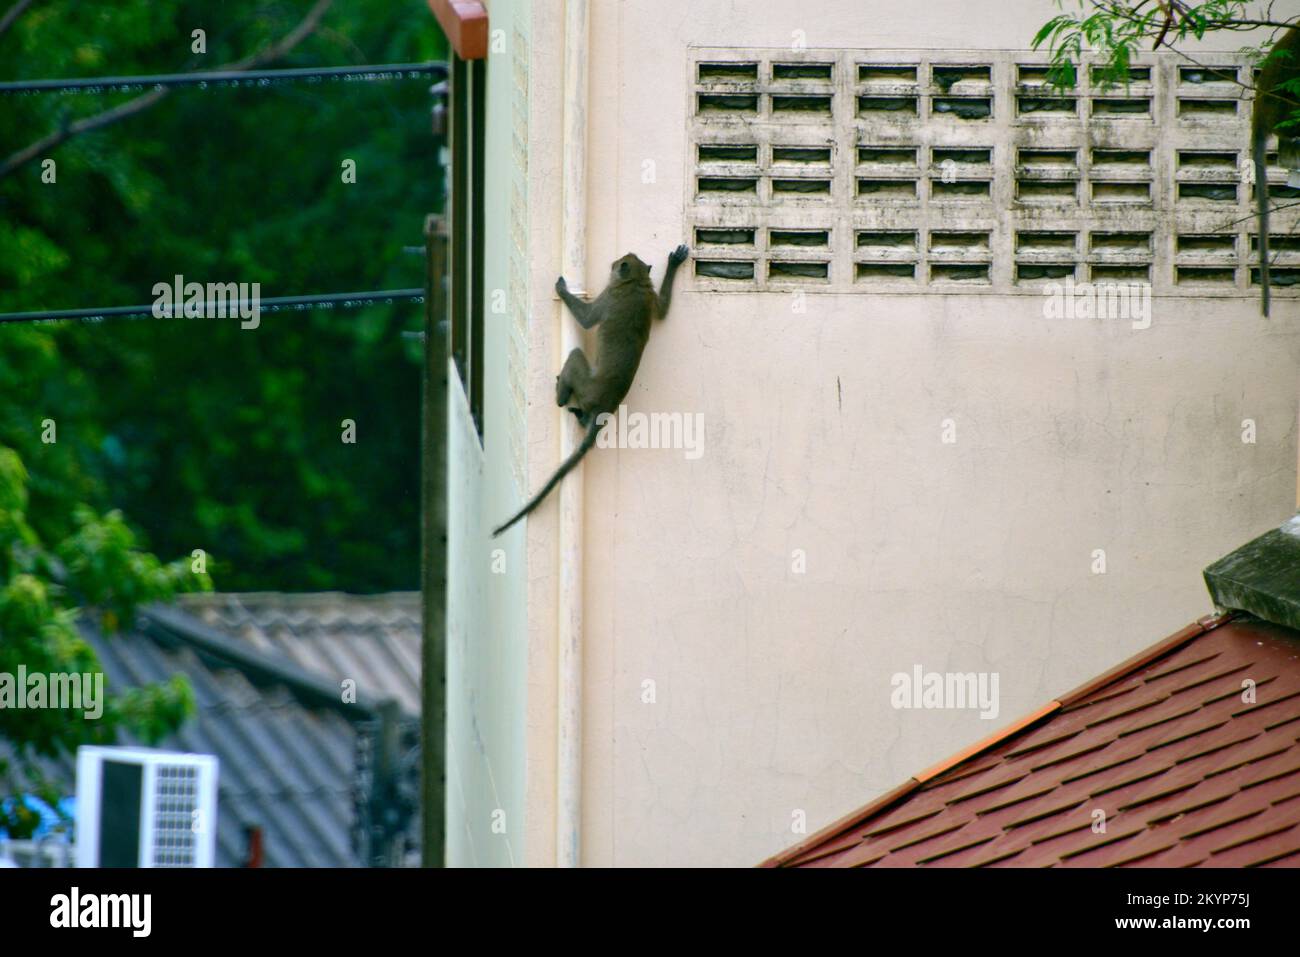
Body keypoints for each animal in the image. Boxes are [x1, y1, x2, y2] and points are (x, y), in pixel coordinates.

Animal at [491, 244, 689, 537]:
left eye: (620, 262)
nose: (614, 262)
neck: (635, 283)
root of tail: (606, 405)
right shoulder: (650, 296)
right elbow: (663, 310)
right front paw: (674, 263)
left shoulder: (608, 295)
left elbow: (586, 320)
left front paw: (562, 290)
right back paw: (582, 418)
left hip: (586, 385)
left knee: (574, 357)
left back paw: (561, 397)